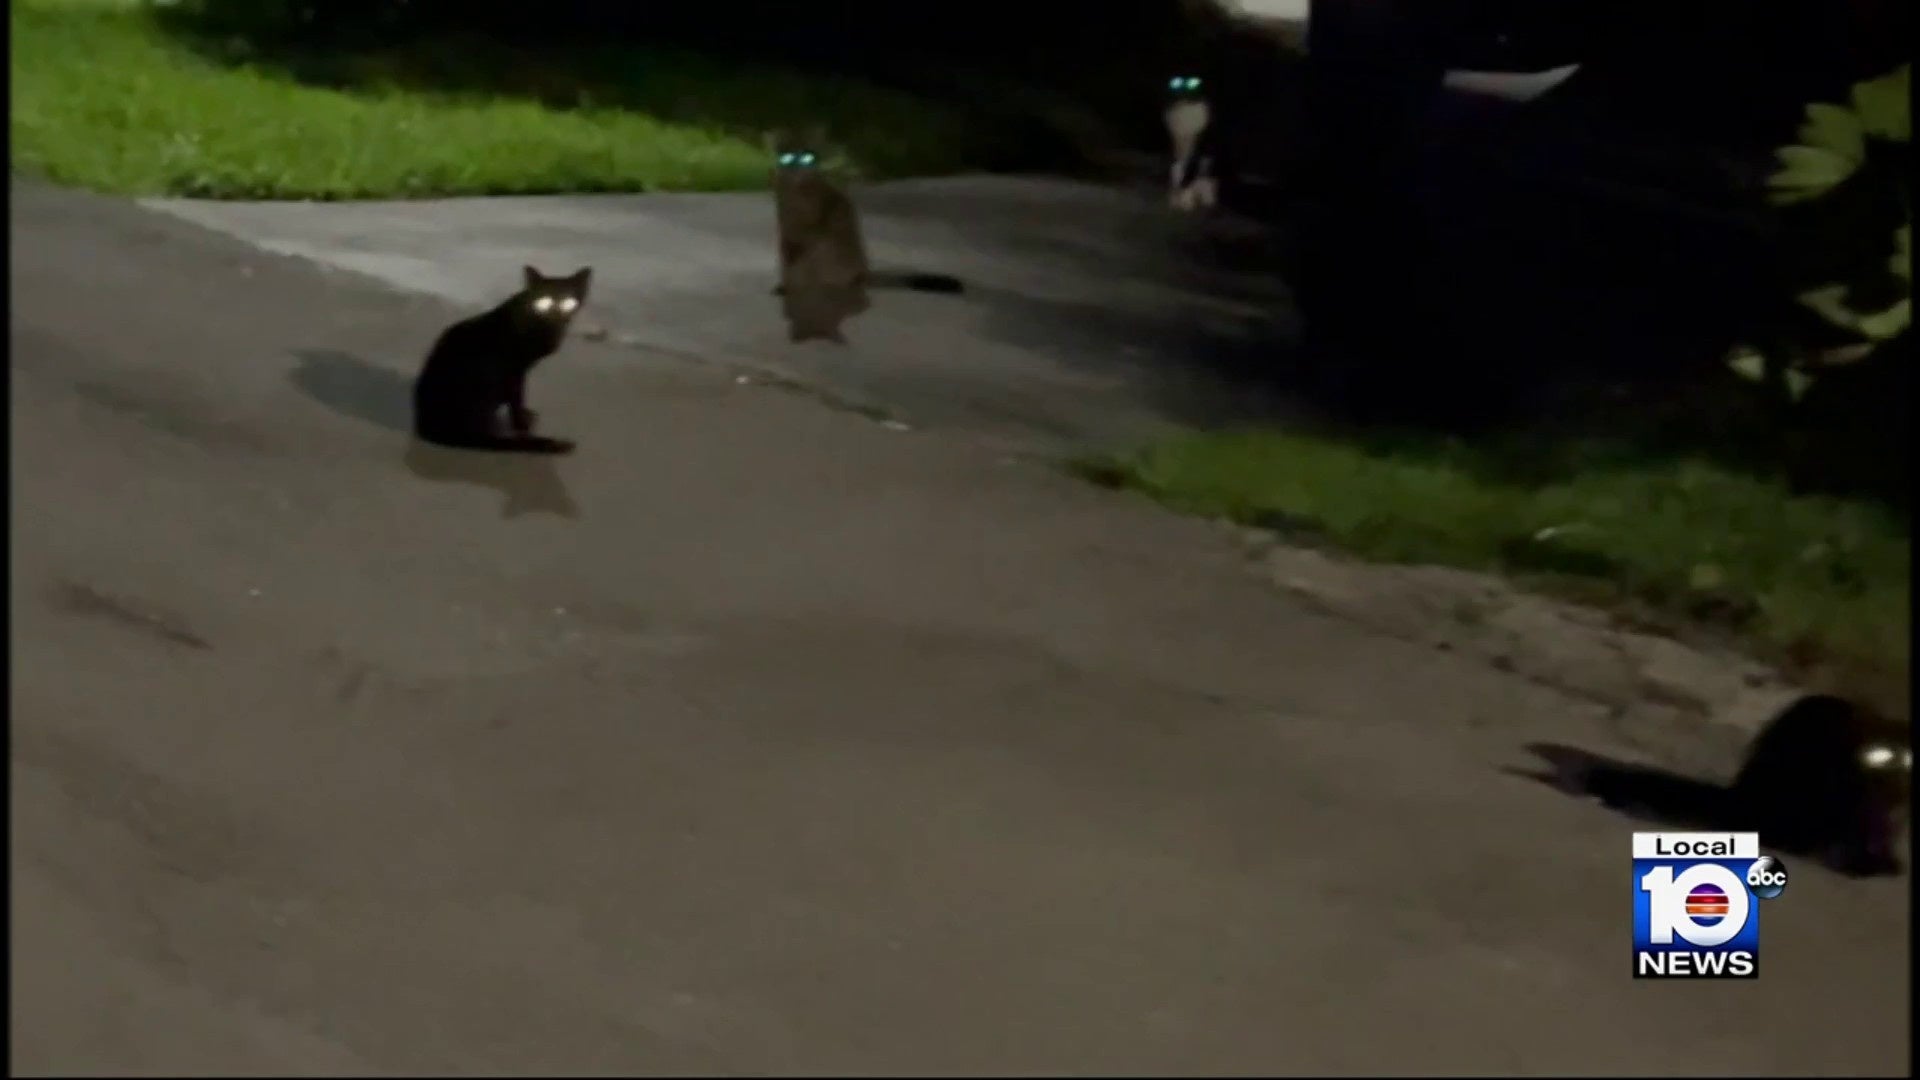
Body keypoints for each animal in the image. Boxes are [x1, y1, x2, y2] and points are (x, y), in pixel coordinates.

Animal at [416, 269, 595, 453]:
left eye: (568, 303)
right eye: (543, 302)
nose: (557, 315)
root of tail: (425, 426)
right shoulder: (515, 370)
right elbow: (517, 399)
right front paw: (522, 424)